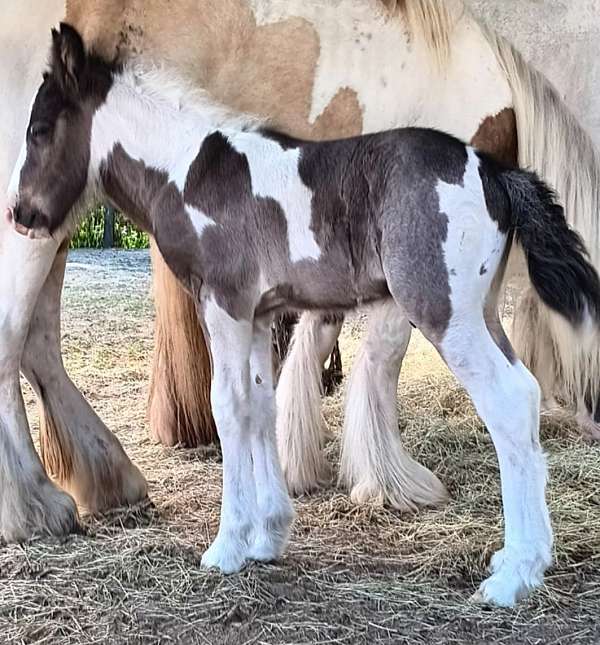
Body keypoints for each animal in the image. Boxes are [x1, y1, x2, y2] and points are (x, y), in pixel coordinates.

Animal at [8, 25, 600, 608]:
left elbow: (227, 407)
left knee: (507, 400)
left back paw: (514, 576)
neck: (185, 172)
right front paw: (267, 536)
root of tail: (495, 172)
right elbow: (259, 406)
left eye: (39, 129)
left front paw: (226, 546)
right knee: (524, 392)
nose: (20, 214)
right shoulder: (258, 314)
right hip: (481, 311)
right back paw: (516, 560)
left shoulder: (224, 303)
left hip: (446, 313)